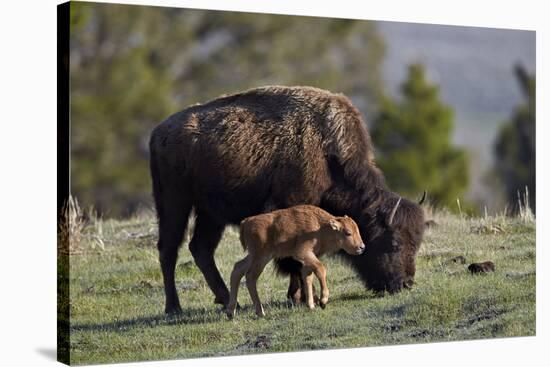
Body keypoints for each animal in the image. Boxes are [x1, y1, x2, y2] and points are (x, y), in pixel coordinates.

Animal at [227, 206, 366, 318]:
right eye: (348, 233)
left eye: (357, 230)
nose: (362, 247)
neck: (320, 226)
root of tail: (246, 222)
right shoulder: (302, 253)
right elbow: (320, 269)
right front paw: (323, 301)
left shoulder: (307, 260)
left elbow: (308, 277)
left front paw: (311, 306)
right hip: (261, 257)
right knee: (250, 277)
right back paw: (260, 312)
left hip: (254, 256)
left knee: (237, 269)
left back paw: (231, 313)